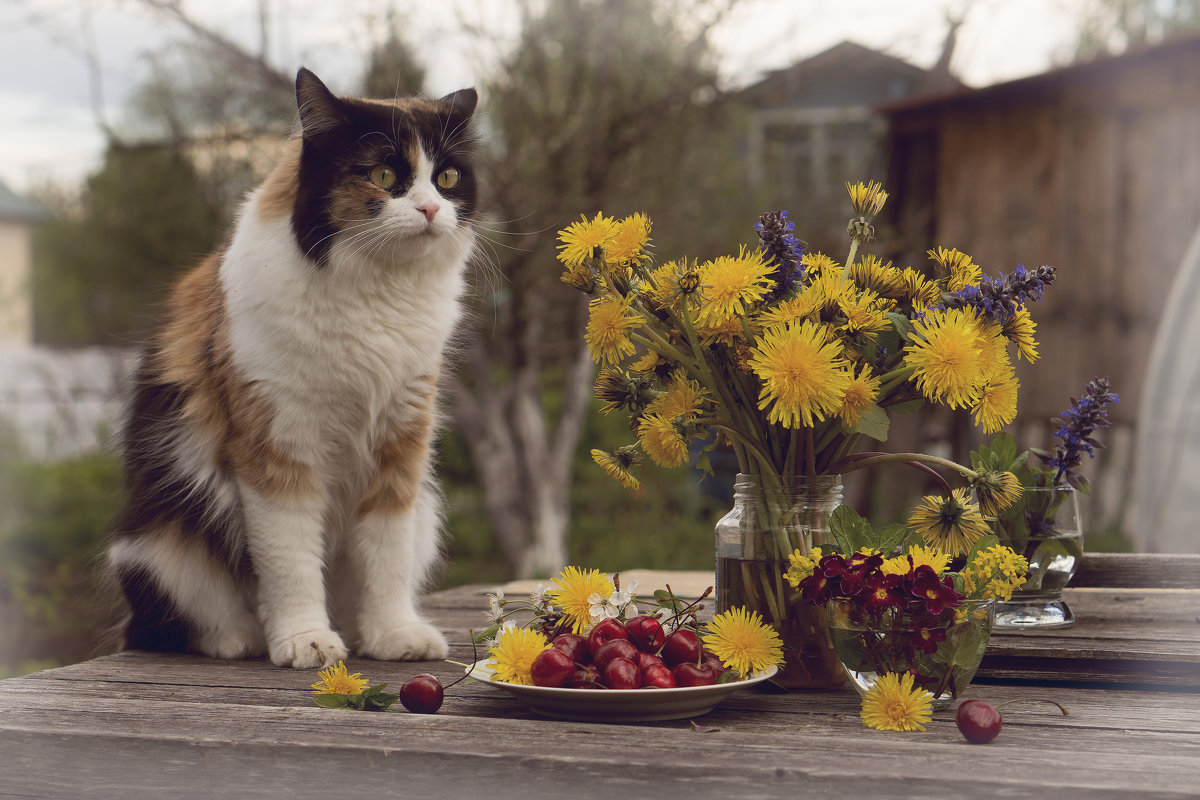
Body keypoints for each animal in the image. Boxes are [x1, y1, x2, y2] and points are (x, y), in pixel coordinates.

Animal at [104, 68, 477, 671]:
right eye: (383, 175)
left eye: (446, 178)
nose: (430, 211)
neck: (374, 290)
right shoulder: (277, 447)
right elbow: (290, 559)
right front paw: (305, 640)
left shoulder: (400, 442)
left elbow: (386, 555)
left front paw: (392, 635)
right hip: (159, 544)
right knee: (183, 624)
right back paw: (242, 640)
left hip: (426, 510)